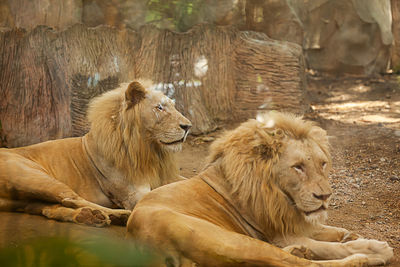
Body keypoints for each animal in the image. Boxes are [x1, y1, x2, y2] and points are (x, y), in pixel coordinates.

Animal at [0, 80, 192, 228]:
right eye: (159, 108)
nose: (188, 126)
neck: (149, 151)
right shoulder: (134, 194)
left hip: (26, 199)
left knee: (51, 208)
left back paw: (90, 216)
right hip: (33, 177)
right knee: (70, 198)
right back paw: (117, 215)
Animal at [128, 112, 394, 266]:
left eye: (322, 164)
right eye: (298, 167)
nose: (325, 196)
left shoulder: (289, 221)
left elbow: (324, 229)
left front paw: (348, 234)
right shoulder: (277, 233)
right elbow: (329, 248)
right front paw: (374, 248)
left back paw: (301, 250)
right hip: (236, 242)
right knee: (299, 264)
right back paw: (362, 259)